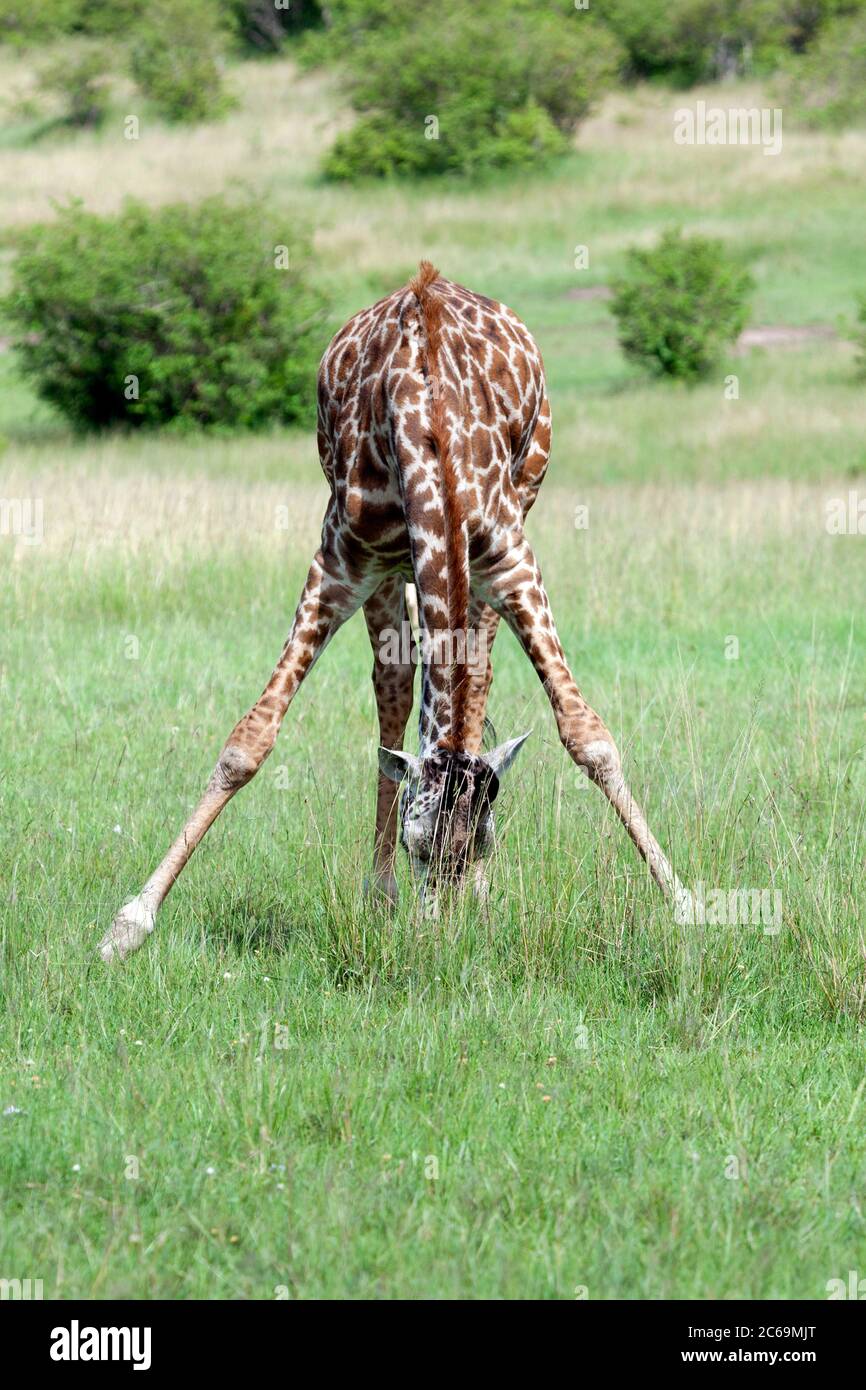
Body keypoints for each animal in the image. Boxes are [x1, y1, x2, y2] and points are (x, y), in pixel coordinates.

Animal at [99, 262, 690, 961]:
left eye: (485, 842)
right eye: (414, 845)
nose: (439, 931)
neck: (430, 428)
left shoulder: (512, 559)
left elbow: (587, 735)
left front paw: (685, 900)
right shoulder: (341, 562)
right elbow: (249, 741)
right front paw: (127, 924)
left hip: (506, 527)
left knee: (473, 679)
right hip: (390, 571)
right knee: (396, 687)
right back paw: (378, 893)